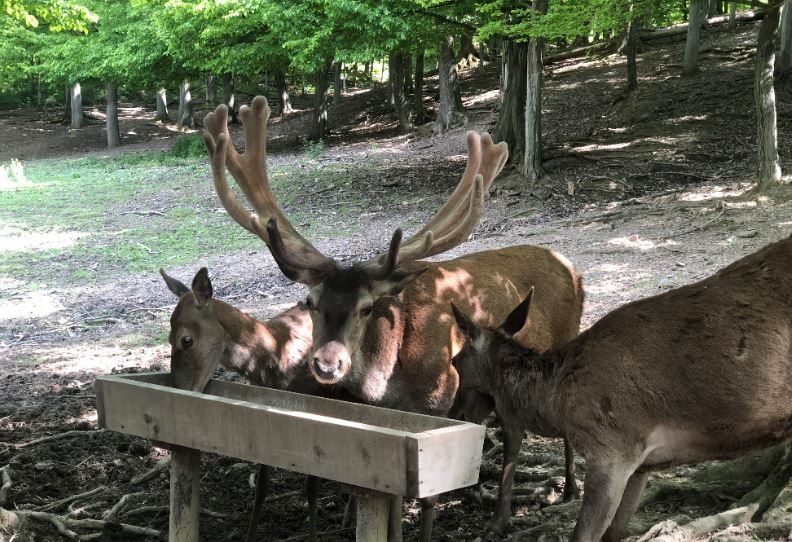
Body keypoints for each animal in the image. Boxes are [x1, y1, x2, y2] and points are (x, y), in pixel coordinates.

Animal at [201, 95, 586, 539]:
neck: (391, 379)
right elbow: (393, 497)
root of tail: (571, 266)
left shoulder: (440, 400)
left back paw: (543, 499)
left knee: (521, 432)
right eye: (310, 301)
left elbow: (429, 497)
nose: (327, 363)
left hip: (554, 351)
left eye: (366, 307)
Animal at [450, 235, 792, 542]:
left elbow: (583, 536)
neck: (557, 404)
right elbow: (614, 533)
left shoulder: (611, 448)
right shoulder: (643, 464)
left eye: (455, 361)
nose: (455, 412)